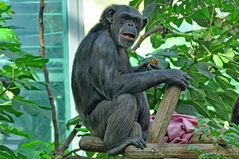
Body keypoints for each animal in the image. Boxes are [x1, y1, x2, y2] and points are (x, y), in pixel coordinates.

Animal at [72, 4, 190, 155]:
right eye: (125, 18)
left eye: (135, 20)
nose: (130, 24)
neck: (110, 32)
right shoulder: (102, 46)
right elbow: (113, 82)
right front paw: (171, 74)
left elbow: (130, 74)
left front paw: (150, 67)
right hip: (97, 127)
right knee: (126, 99)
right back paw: (116, 144)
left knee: (138, 90)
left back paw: (144, 132)